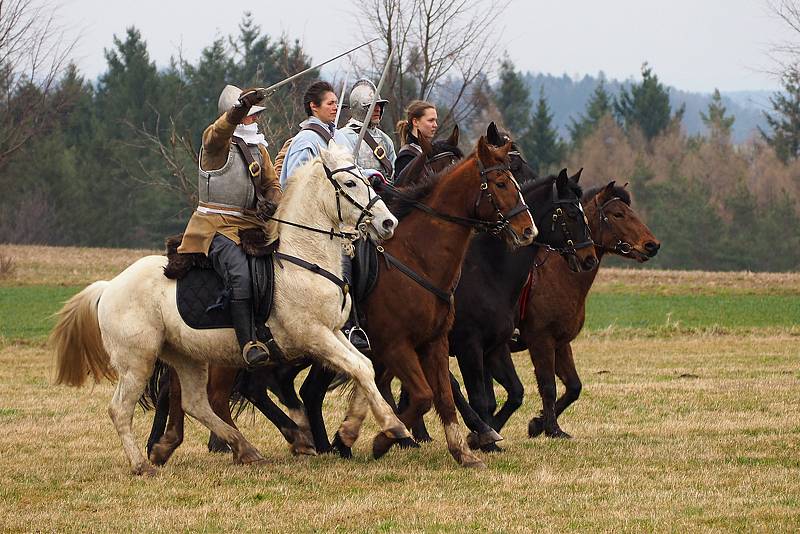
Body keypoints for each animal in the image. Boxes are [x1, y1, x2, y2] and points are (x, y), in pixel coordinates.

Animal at [50, 143, 412, 478]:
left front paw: (356, 428)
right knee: (120, 409)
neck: (304, 259)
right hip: (137, 361)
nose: (388, 222)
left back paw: (245, 448)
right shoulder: (314, 335)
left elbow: (365, 366)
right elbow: (360, 368)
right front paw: (392, 426)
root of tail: (109, 286)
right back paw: (143, 464)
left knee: (196, 403)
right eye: (350, 183)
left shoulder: (335, 332)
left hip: (187, 357)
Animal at [494, 182, 664, 442]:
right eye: (618, 214)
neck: (559, 273)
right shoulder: (541, 341)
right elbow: (548, 386)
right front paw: (552, 429)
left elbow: (574, 386)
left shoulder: (560, 343)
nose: (652, 245)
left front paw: (537, 423)